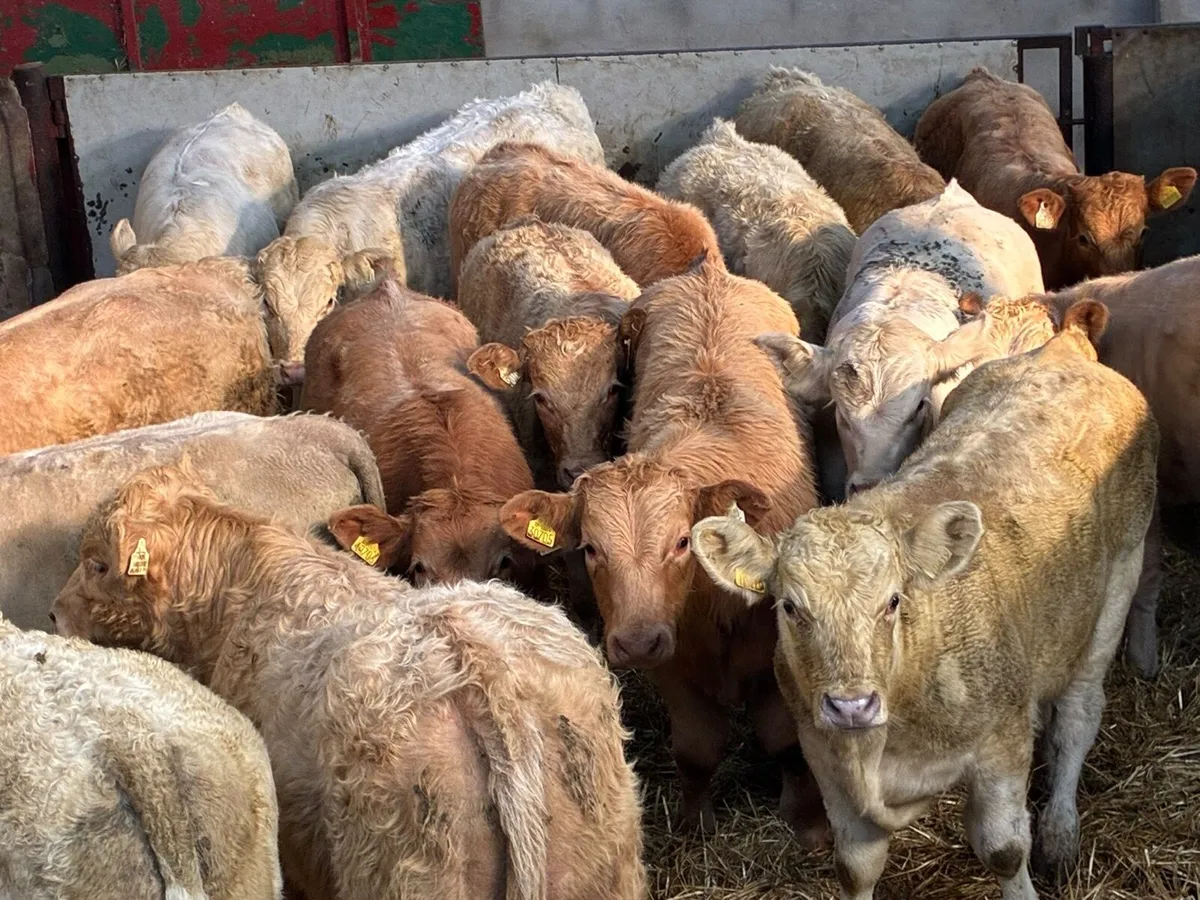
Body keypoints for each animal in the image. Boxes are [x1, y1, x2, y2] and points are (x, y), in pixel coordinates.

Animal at [499, 257, 828, 843]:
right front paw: (696, 823)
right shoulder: (674, 669)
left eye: (681, 542)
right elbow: (695, 753)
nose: (636, 641)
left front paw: (805, 821)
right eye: (590, 548)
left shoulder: (777, 664)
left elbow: (786, 744)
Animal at [693, 302, 1157, 899]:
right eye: (790, 608)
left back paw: (1060, 830)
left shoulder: (999, 746)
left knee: (1079, 711)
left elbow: (1004, 850)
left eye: (893, 601)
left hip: (1120, 573)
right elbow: (856, 865)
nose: (851, 706)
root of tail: (1064, 348)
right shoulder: (825, 757)